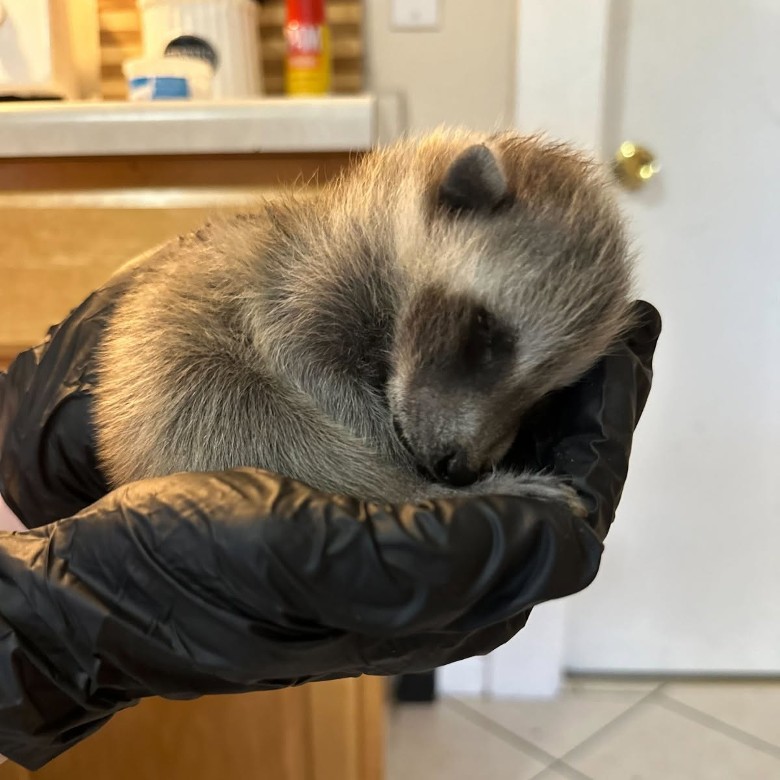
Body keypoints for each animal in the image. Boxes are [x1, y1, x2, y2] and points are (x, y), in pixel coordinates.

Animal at [94, 128, 634, 514]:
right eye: (483, 333)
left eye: (547, 394)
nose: (459, 471)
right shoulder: (298, 285)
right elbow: (311, 368)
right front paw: (410, 473)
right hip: (191, 390)